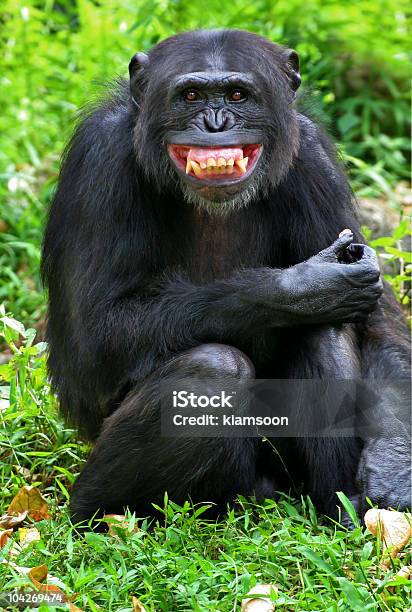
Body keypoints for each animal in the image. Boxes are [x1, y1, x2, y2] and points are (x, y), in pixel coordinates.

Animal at [41, 29, 408, 524]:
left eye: (237, 95)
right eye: (191, 96)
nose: (215, 122)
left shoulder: (315, 160)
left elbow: (377, 326)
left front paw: (396, 462)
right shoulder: (101, 161)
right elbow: (97, 333)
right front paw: (306, 289)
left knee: (325, 333)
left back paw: (339, 506)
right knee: (215, 368)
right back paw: (100, 513)